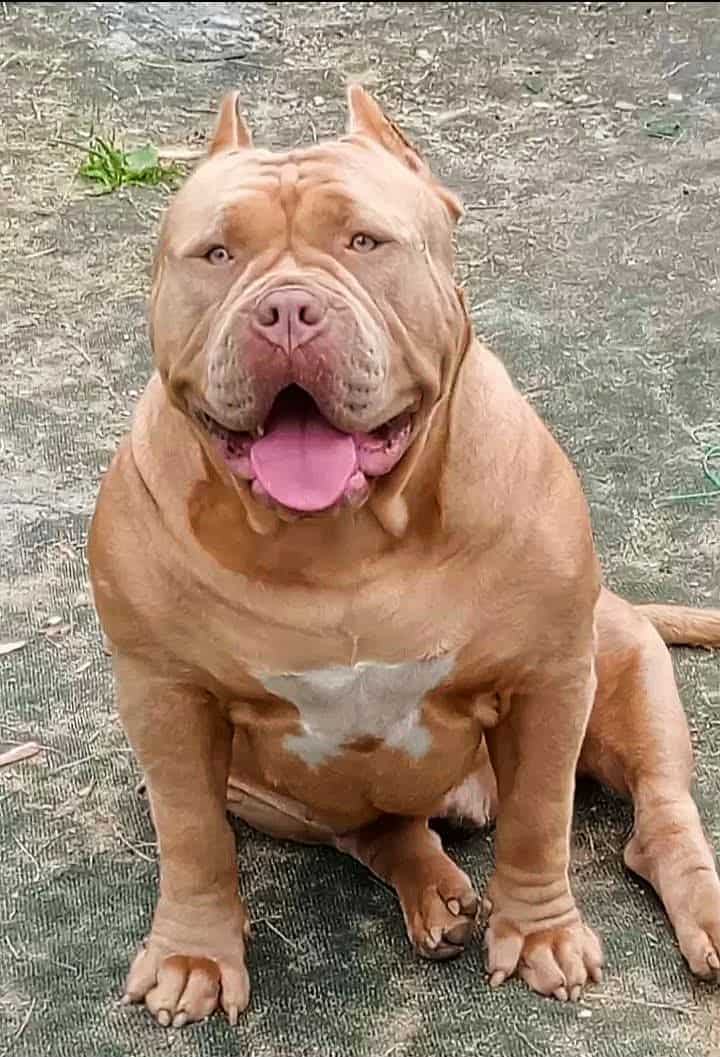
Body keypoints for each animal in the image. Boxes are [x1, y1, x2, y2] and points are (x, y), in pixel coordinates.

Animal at [89, 86, 720, 1027]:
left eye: (365, 241)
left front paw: (540, 934)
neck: (342, 540)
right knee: (375, 826)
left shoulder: (551, 677)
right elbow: (193, 838)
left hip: (627, 672)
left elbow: (541, 817)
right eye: (217, 253)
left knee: (661, 816)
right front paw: (192, 954)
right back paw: (437, 891)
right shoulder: (164, 698)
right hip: (273, 794)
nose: (286, 310)